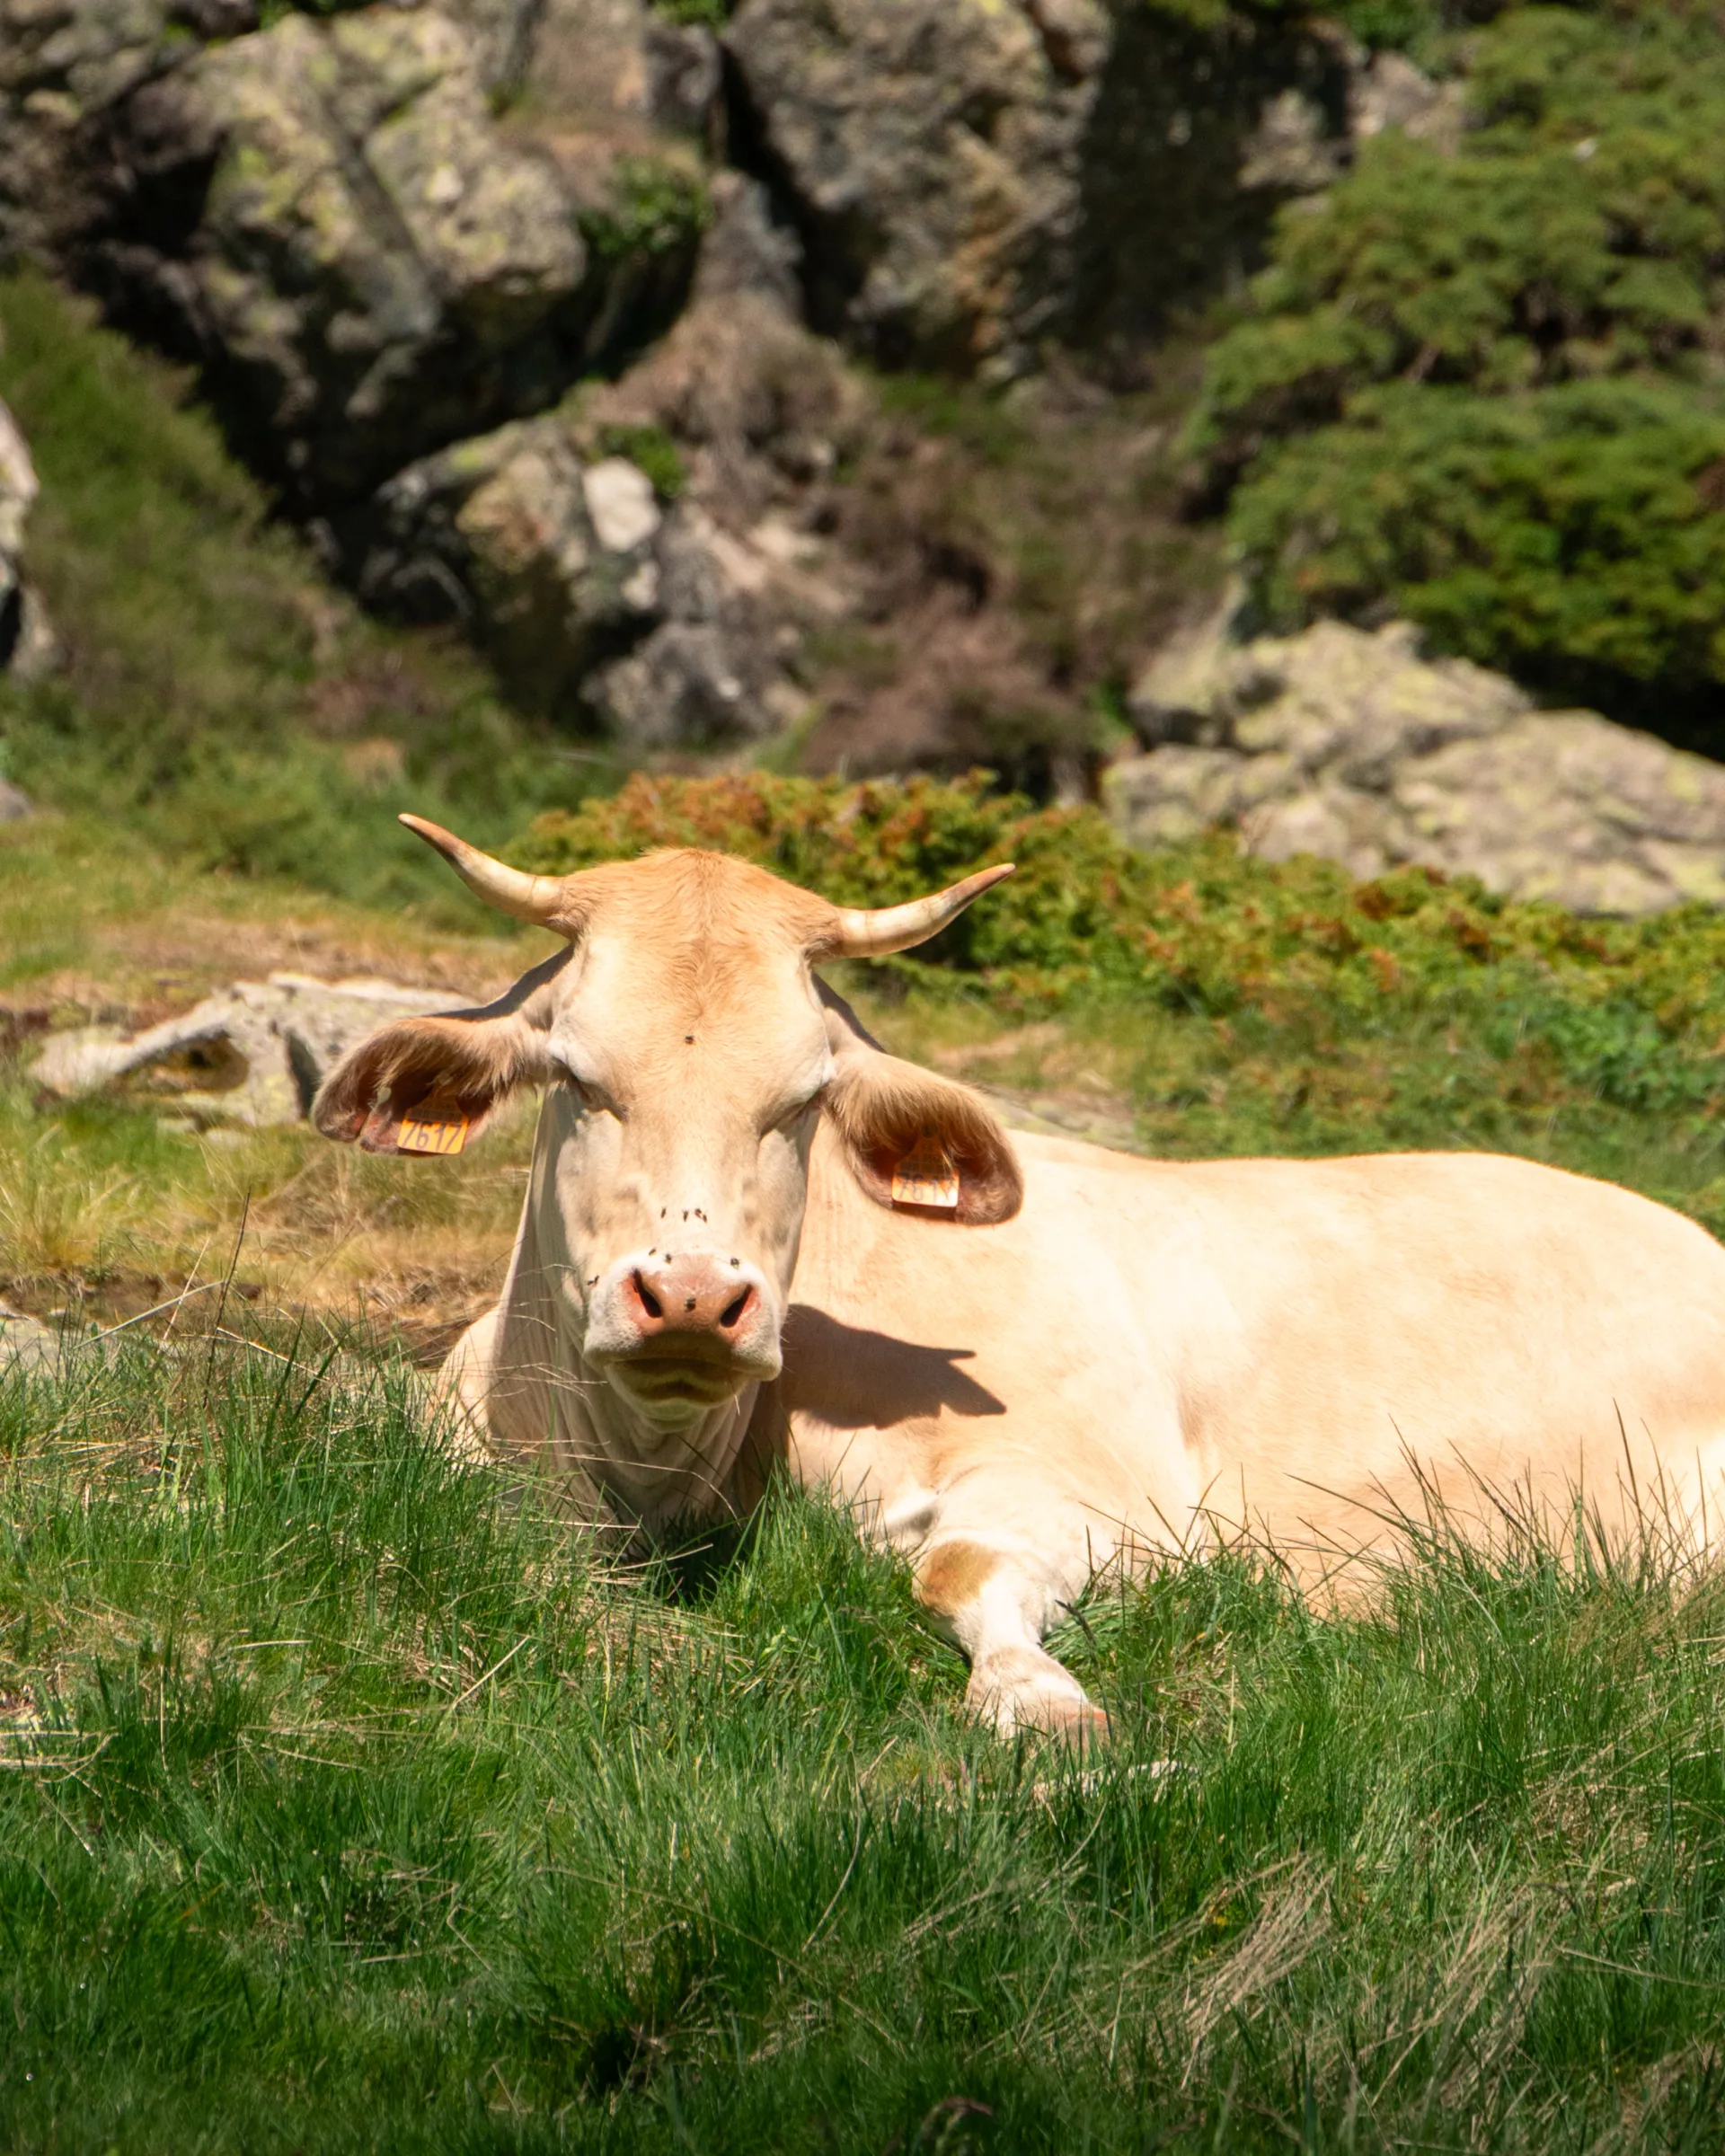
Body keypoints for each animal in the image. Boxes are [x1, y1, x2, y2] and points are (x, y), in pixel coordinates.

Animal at [314, 817, 1725, 1741]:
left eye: (805, 1100)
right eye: (575, 1075)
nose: (697, 1298)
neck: (664, 1481)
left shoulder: (1108, 1494)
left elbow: (958, 1568)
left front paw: (1040, 1703)